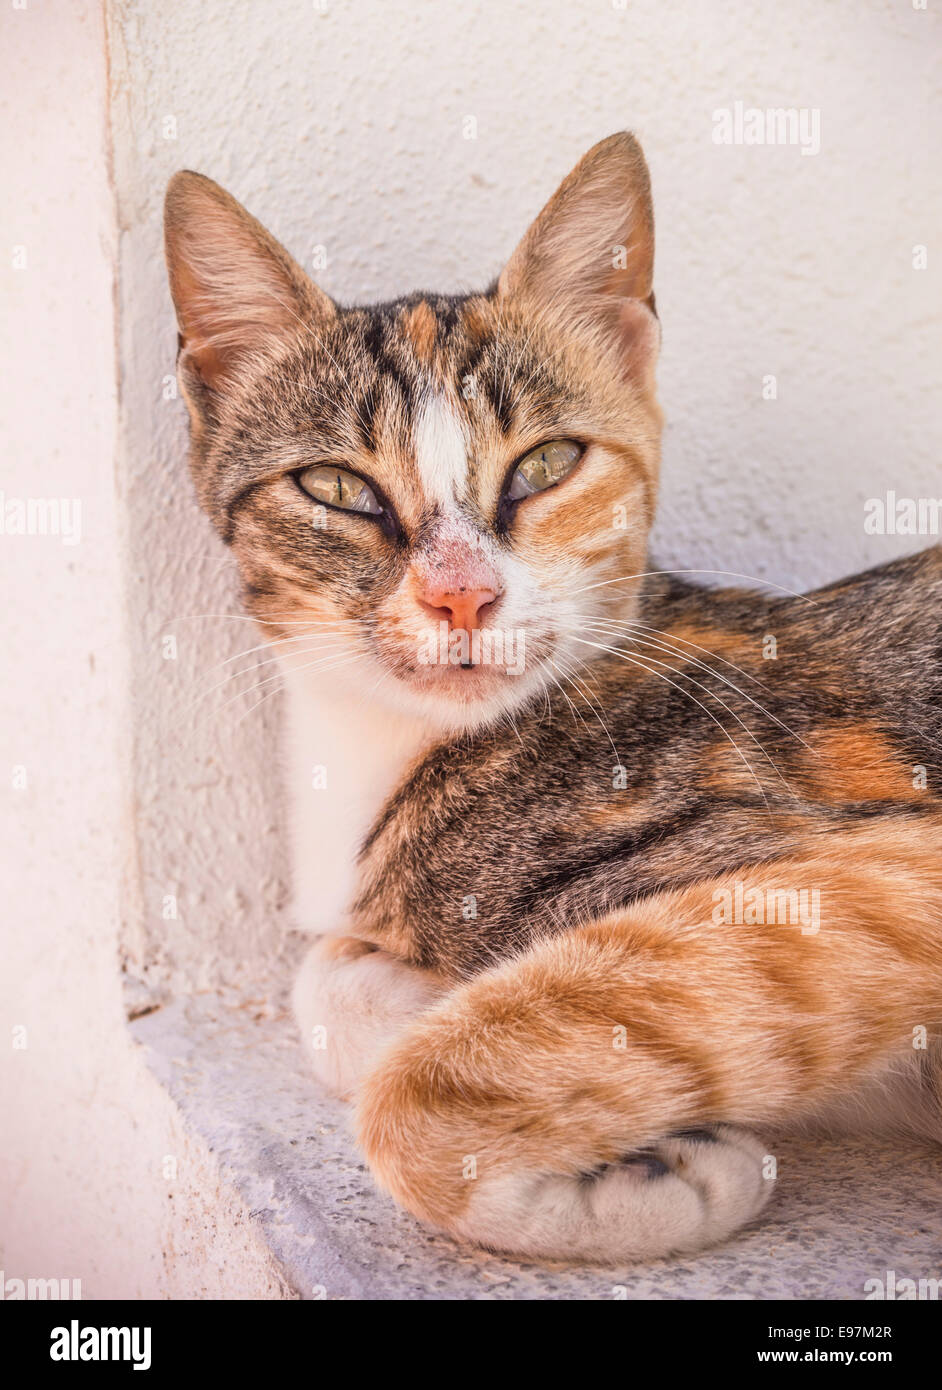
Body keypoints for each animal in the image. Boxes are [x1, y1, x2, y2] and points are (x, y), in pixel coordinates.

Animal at [163, 135, 942, 1267]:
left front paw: (674, 1176)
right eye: (338, 488)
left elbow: (412, 1092)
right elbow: (329, 981)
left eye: (546, 463)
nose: (462, 592)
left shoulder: (888, 865)